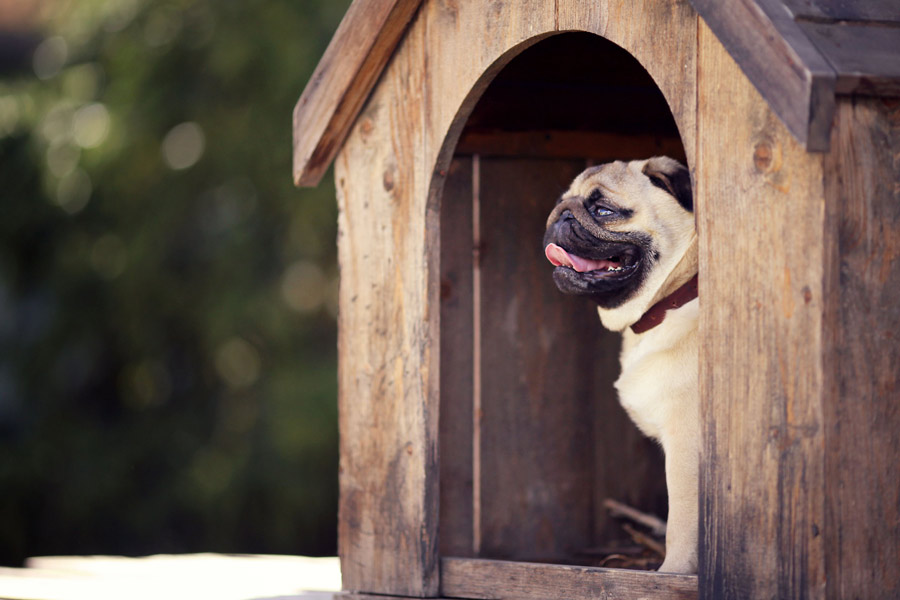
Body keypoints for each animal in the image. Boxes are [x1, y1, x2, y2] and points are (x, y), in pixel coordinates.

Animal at [540, 157, 704, 576]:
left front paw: (672, 575)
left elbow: (681, 525)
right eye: (561, 203)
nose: (563, 215)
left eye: (603, 211)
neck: (671, 300)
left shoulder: (685, 446)